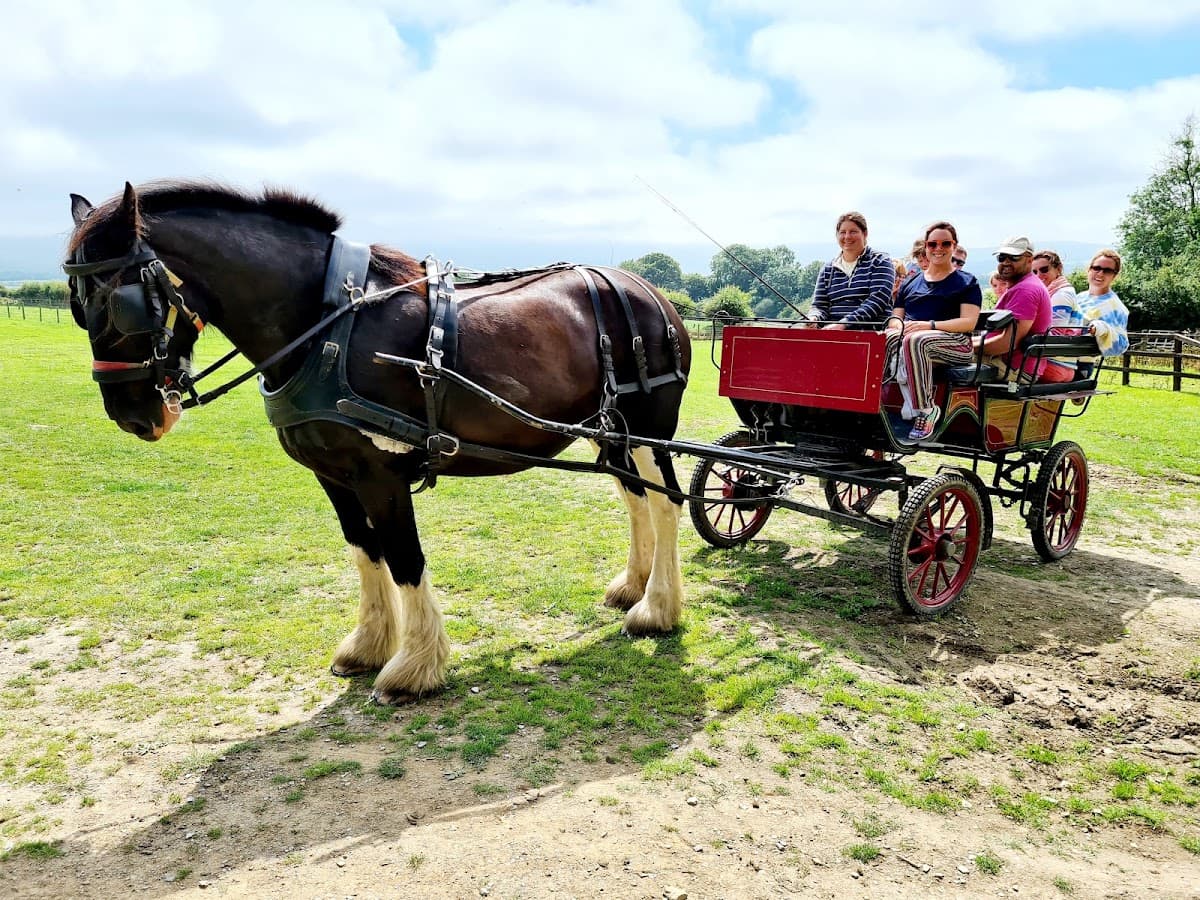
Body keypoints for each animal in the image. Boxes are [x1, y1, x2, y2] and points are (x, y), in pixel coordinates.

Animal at [65, 181, 692, 704]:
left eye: (118, 303)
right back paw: (634, 587)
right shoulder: (333, 474)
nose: (131, 413)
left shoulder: (380, 473)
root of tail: (650, 290)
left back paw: (656, 609)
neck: (326, 326)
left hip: (651, 426)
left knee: (665, 502)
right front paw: (368, 645)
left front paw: (413, 668)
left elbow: (404, 557)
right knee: (633, 496)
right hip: (611, 431)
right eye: (75, 303)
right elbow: (366, 552)